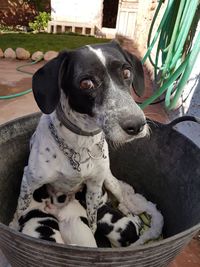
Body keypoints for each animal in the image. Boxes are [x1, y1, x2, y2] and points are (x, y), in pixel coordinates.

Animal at [11, 40, 148, 234]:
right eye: (86, 83)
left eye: (127, 72)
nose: (137, 125)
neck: (81, 143)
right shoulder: (29, 182)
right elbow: (19, 211)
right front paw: (14, 226)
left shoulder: (94, 186)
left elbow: (92, 220)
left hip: (110, 182)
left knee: (122, 201)